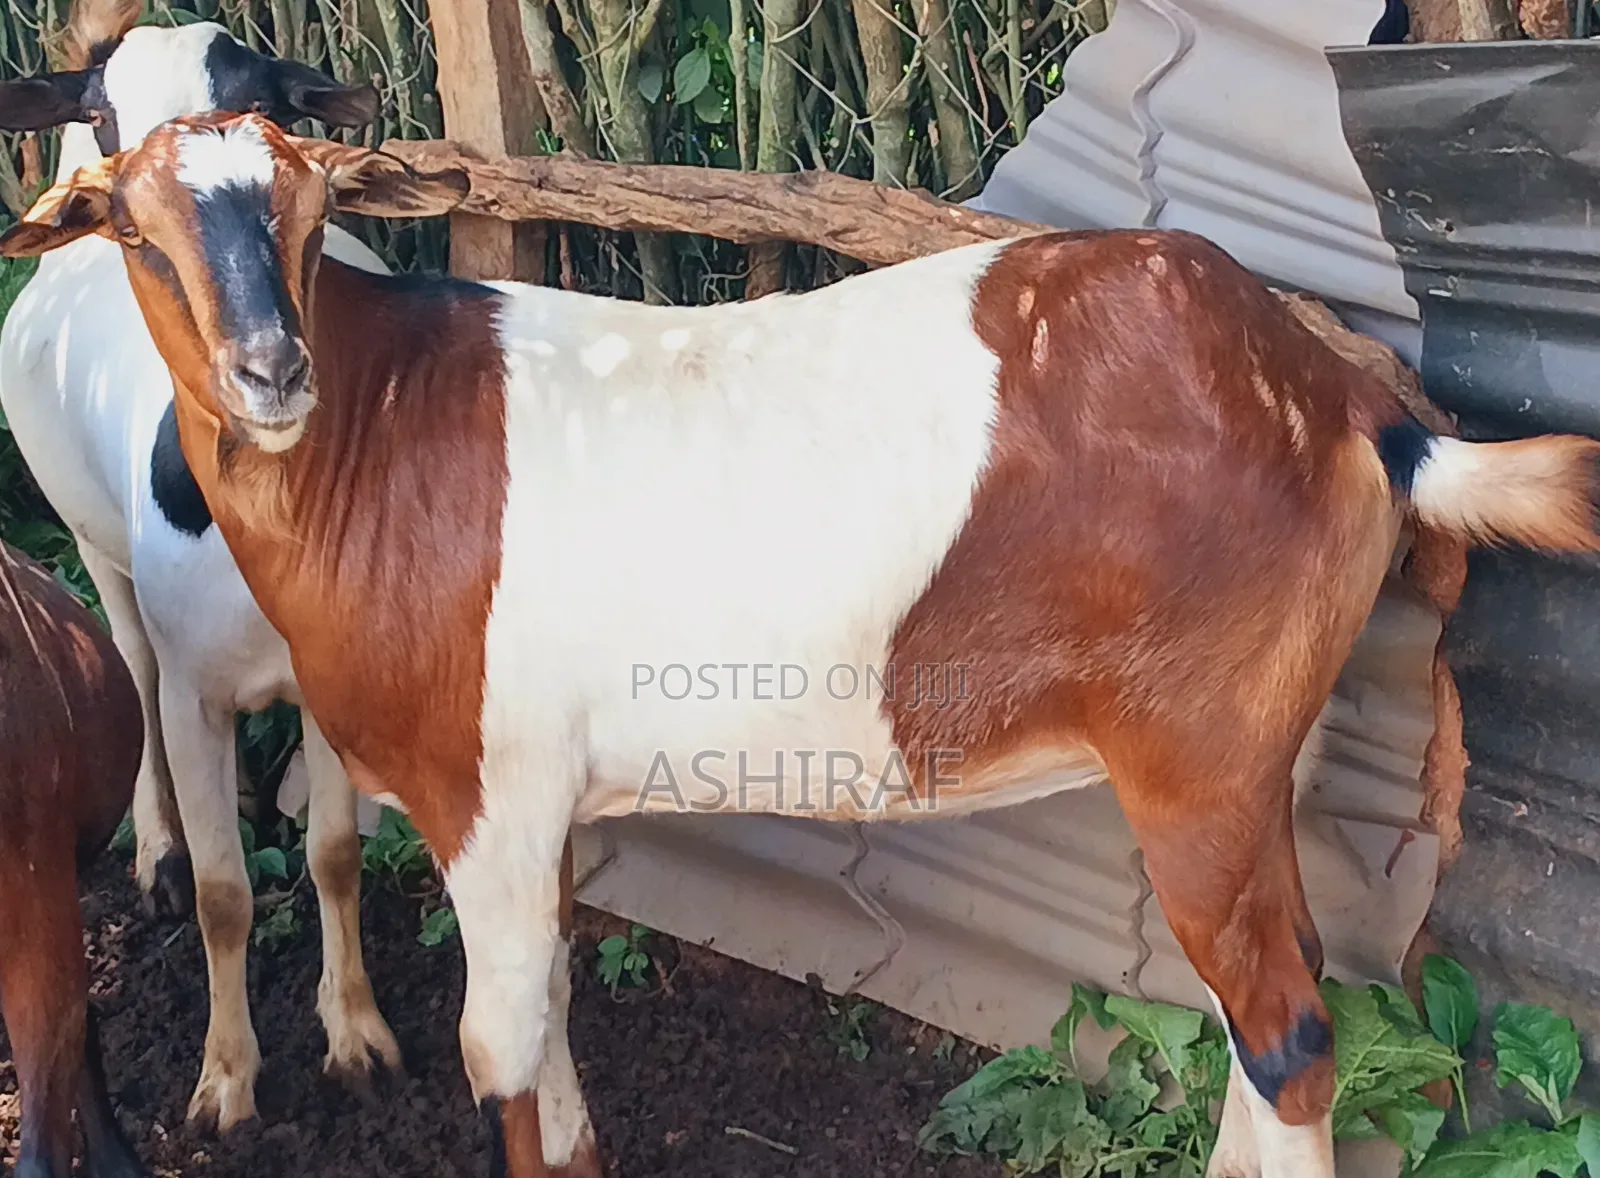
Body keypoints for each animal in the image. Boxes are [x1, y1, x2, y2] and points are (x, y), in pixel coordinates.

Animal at [0, 3, 400, 1131]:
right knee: (129, 663)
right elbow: (228, 895)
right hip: (92, 542)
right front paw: (226, 1076)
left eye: (269, 104)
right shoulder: (193, 690)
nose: (268, 367)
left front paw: (354, 1031)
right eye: (99, 117)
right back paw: (158, 850)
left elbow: (336, 856)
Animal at [11, 112, 1600, 1178]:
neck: (385, 437)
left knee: (1285, 1030)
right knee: (1269, 1000)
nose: (269, 369)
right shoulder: (539, 816)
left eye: (302, 206)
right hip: (1259, 762)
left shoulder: (492, 800)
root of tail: (1353, 409)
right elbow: (555, 1052)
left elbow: (500, 1055)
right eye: (136, 230)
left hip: (1200, 761)